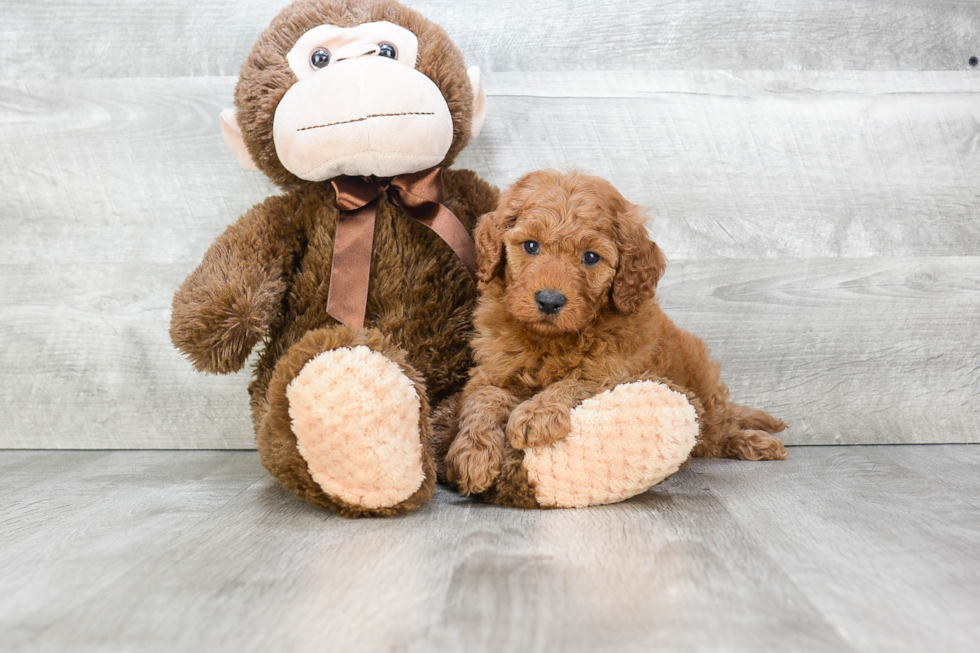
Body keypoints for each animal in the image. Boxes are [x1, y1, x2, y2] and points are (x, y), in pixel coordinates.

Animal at [440, 169, 784, 500]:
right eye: (531, 246)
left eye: (591, 257)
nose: (549, 301)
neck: (553, 340)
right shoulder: (492, 370)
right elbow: (483, 401)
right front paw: (472, 454)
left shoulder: (621, 372)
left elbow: (578, 381)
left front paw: (537, 413)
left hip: (703, 386)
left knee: (718, 429)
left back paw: (754, 442)